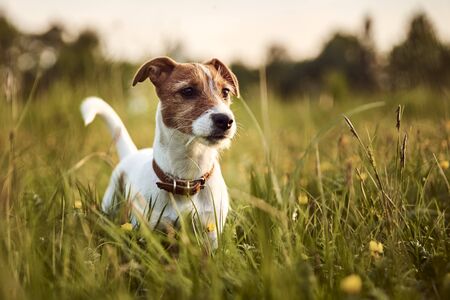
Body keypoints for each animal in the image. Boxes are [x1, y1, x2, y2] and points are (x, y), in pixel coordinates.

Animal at [80, 56, 239, 248]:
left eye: (226, 91)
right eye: (188, 91)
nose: (226, 120)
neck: (186, 180)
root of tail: (132, 153)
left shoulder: (211, 232)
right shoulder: (148, 232)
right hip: (111, 201)